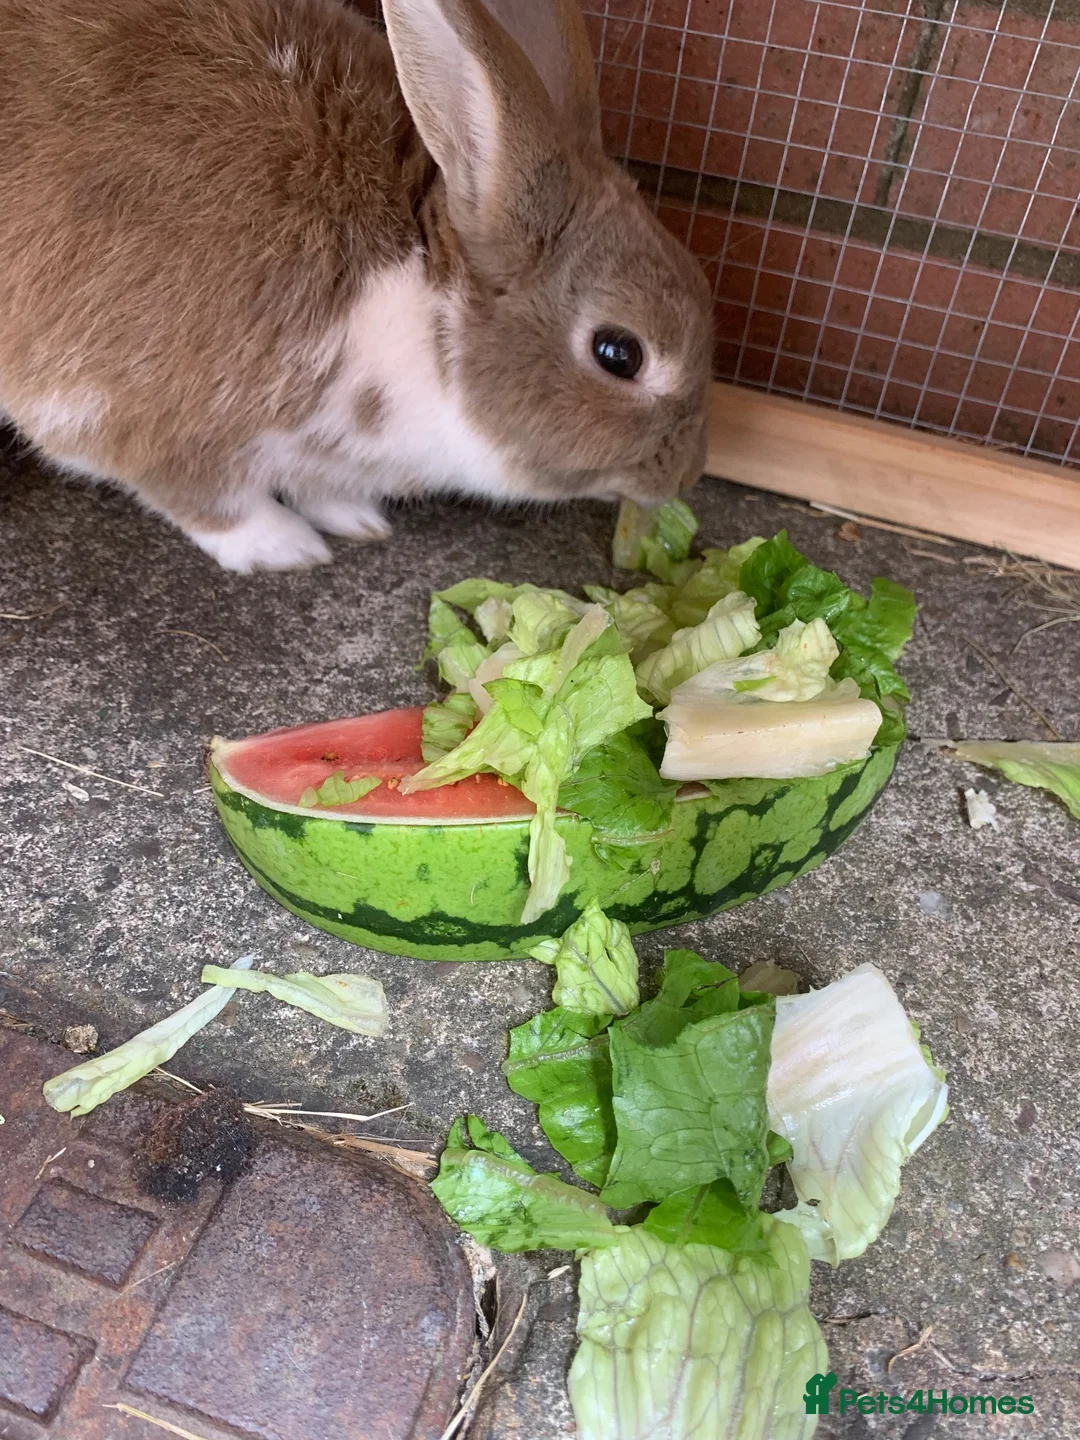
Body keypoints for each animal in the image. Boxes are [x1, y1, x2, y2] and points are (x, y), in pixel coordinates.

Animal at [0, 0, 714, 572]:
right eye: (619, 353)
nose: (687, 471)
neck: (424, 294)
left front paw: (355, 518)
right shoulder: (140, 414)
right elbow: (208, 497)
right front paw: (285, 548)